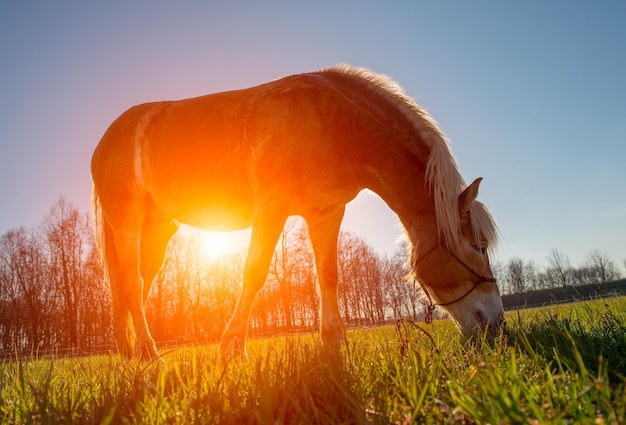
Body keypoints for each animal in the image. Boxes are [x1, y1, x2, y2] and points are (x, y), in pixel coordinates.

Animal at [91, 64, 502, 360]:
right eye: (478, 246)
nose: (496, 324)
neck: (335, 123)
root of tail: (106, 139)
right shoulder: (271, 208)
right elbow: (254, 272)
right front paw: (231, 348)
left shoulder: (326, 212)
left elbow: (329, 275)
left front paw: (334, 343)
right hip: (127, 223)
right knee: (131, 286)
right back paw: (149, 354)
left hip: (158, 230)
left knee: (135, 287)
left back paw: (135, 353)